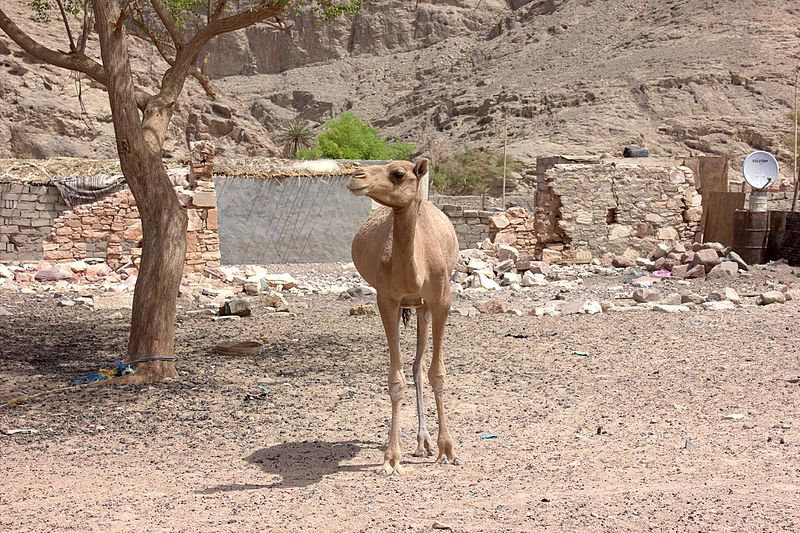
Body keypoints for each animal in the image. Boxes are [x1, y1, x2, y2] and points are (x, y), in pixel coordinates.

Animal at [346, 157, 460, 474]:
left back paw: (424, 443)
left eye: (398, 174)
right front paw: (391, 458)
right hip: (407, 306)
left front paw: (448, 450)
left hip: (423, 307)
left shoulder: (441, 300)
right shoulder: (387, 299)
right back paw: (411, 442)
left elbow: (438, 374)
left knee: (419, 366)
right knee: (409, 367)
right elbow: (395, 381)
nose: (355, 175)